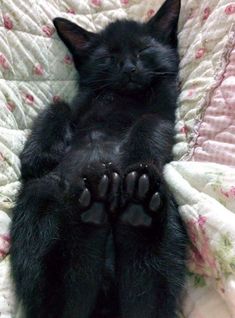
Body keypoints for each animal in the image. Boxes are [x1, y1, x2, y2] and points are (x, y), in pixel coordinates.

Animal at [10, 0, 187, 316]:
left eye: (143, 50)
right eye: (109, 57)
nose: (129, 68)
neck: (120, 96)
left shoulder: (163, 113)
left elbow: (150, 123)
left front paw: (137, 161)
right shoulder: (78, 106)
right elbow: (57, 106)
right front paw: (39, 156)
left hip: (168, 236)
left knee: (144, 302)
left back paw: (135, 203)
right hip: (41, 196)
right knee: (63, 300)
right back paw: (95, 207)